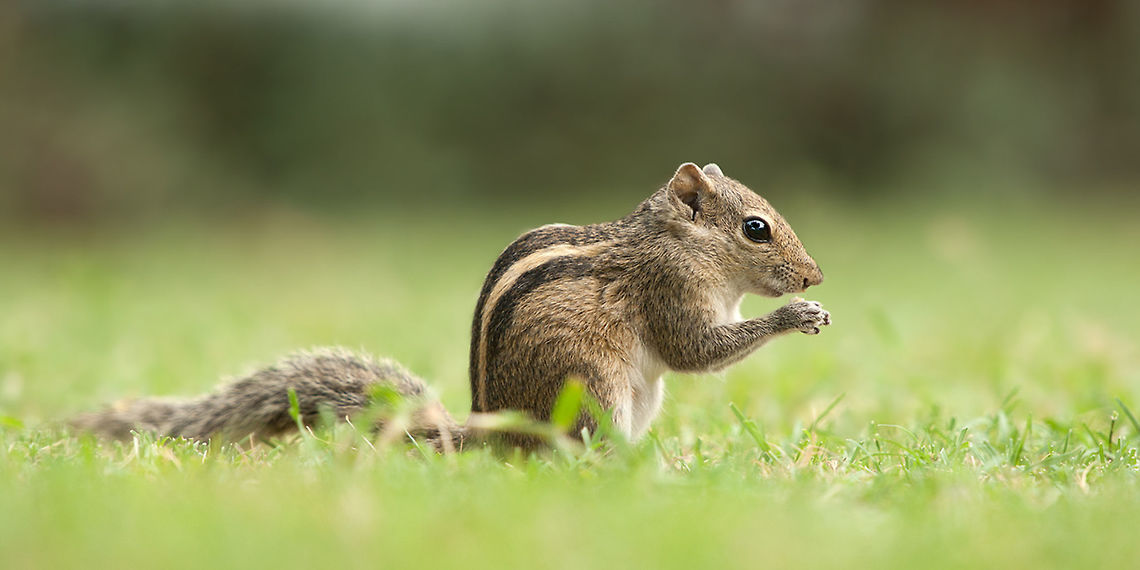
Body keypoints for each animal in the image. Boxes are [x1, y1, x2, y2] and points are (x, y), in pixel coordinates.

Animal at [72, 162, 830, 451]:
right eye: (756, 229)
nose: (815, 277)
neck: (674, 240)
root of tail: (492, 436)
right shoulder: (669, 289)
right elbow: (695, 351)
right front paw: (798, 318)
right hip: (592, 389)